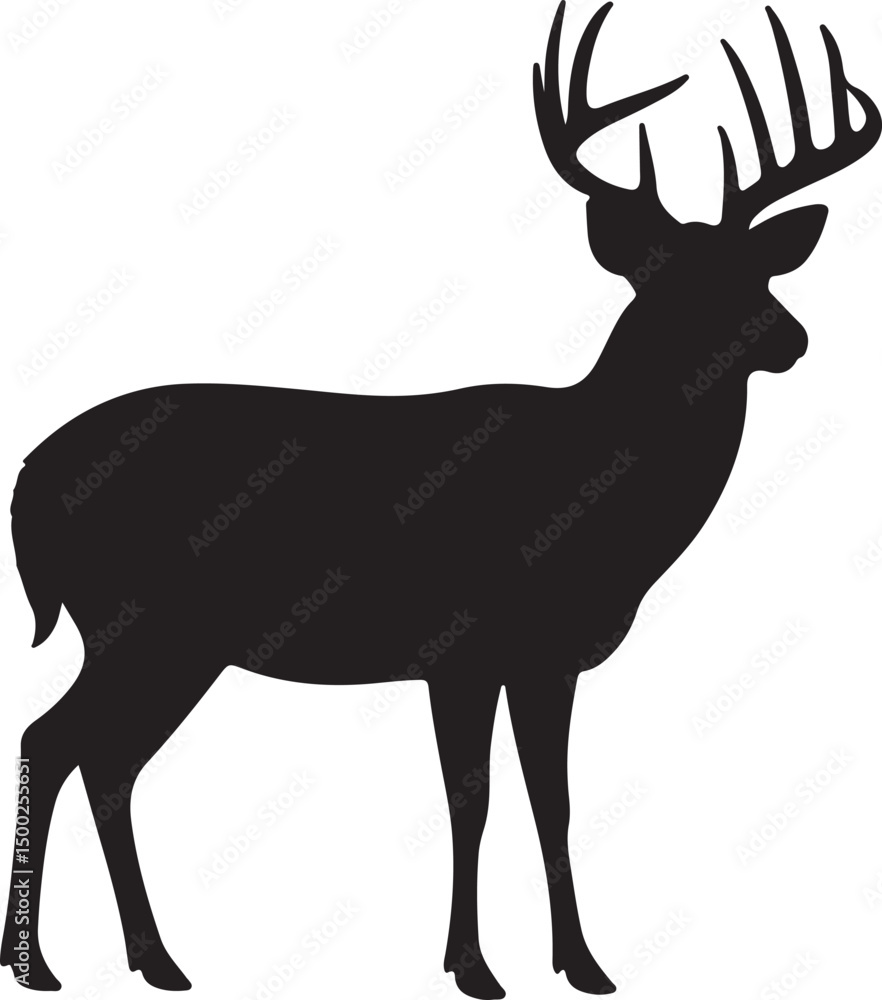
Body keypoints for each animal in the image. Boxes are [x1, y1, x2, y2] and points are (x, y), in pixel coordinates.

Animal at [2, 2, 878, 997]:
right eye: (674, 279)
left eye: (761, 271)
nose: (792, 338)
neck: (596, 502)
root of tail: (28, 479)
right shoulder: (462, 644)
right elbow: (473, 799)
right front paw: (473, 968)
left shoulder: (548, 658)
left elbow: (553, 799)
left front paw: (582, 964)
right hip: (140, 621)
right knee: (56, 739)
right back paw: (42, 963)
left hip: (168, 640)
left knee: (102, 758)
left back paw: (149, 960)